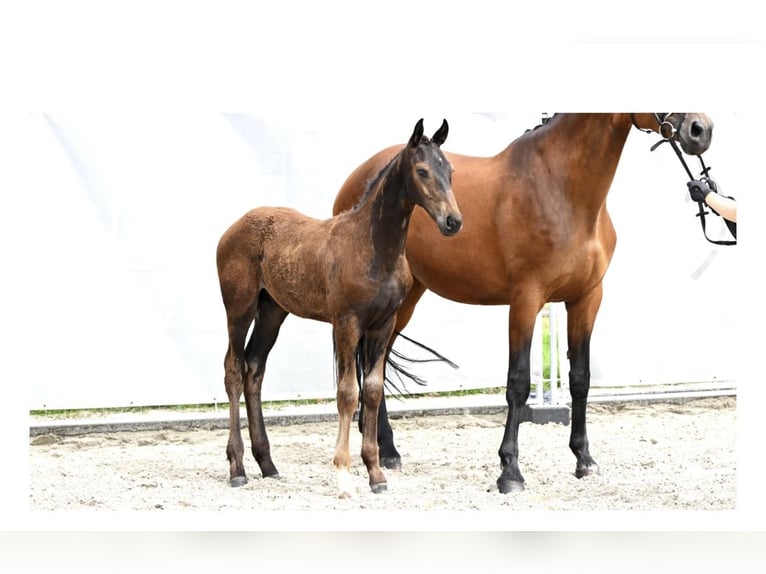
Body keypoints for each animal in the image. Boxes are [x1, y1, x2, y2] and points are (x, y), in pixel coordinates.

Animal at [216, 118, 462, 500]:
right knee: (233, 370)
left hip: (272, 311)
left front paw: (376, 473)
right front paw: (345, 476)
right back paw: (237, 468)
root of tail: (234, 227)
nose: (453, 221)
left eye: (449, 170)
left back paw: (267, 464)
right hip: (238, 309)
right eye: (422, 171)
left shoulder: (383, 324)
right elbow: (348, 393)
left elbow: (372, 390)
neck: (373, 247)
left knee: (254, 369)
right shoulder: (347, 323)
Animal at [332, 113, 716, 496]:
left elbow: (581, 378)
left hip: (408, 297)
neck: (562, 190)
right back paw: (385, 452)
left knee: (377, 365)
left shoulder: (587, 299)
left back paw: (387, 451)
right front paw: (510, 472)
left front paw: (584, 460)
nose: (701, 130)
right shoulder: (526, 300)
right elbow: (517, 382)